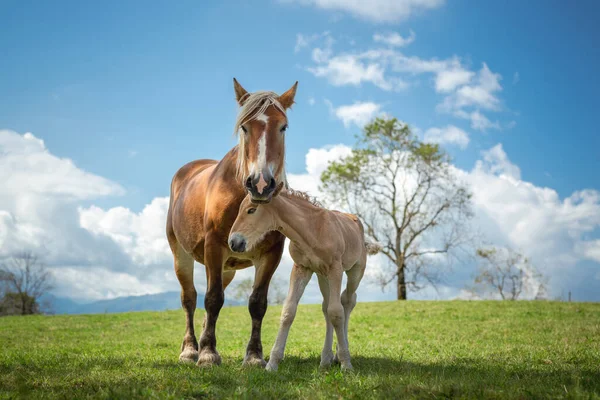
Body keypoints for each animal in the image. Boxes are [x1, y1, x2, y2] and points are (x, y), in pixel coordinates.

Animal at [166, 79, 298, 368]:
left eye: (283, 126)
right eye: (244, 127)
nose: (261, 183)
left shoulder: (271, 254)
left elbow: (257, 303)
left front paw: (254, 355)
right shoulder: (214, 246)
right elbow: (213, 299)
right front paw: (207, 353)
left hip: (227, 268)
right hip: (181, 254)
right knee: (190, 298)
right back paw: (190, 349)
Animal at [229, 189, 380, 370]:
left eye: (251, 210)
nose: (233, 242)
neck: (313, 229)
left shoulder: (335, 269)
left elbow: (336, 312)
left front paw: (346, 363)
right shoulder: (301, 268)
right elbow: (289, 310)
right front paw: (272, 363)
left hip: (356, 270)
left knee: (347, 301)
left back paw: (338, 354)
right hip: (322, 276)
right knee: (326, 307)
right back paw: (326, 359)